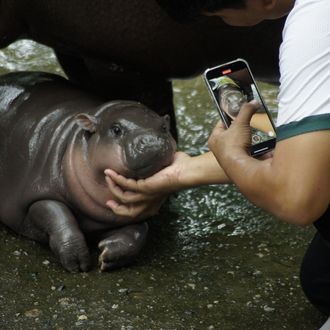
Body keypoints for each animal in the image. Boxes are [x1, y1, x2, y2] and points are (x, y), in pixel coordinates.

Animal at [0, 71, 177, 272]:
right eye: (116, 129)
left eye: (164, 127)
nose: (151, 141)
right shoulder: (39, 194)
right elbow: (60, 219)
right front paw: (77, 264)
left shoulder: (131, 213)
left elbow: (138, 232)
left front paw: (108, 255)